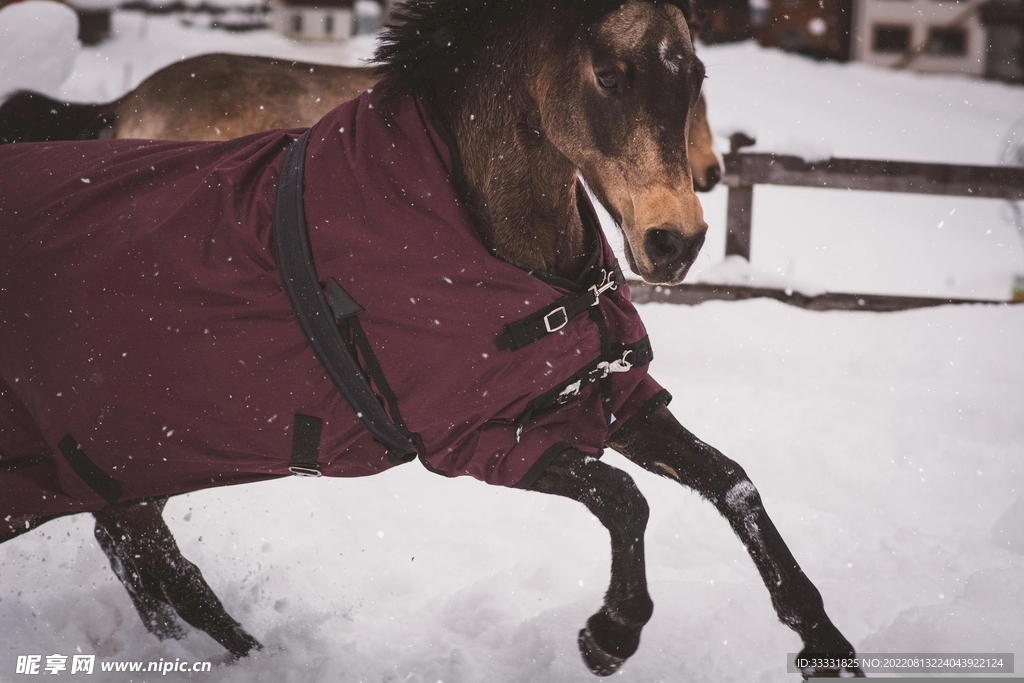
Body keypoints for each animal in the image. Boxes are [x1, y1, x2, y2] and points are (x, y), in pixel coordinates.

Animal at [0, 0, 860, 677]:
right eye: (610, 75)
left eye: (697, 73)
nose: (676, 238)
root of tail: (119, 107)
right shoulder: (480, 438)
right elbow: (625, 497)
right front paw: (609, 634)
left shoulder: (604, 398)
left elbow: (732, 483)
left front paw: (826, 643)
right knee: (147, 552)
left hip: (140, 446)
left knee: (139, 549)